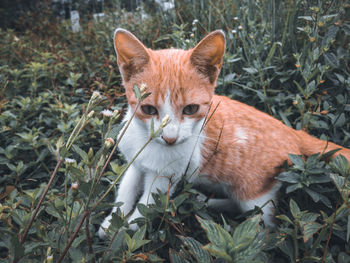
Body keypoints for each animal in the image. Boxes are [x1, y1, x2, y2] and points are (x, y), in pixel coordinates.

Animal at [98, 28, 350, 239]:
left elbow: (147, 205)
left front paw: (123, 229)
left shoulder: (166, 175)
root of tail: (293, 132)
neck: (148, 143)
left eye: (191, 109)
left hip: (255, 192)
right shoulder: (136, 161)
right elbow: (126, 188)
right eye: (148, 110)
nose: (169, 138)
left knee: (262, 220)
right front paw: (110, 223)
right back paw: (205, 201)